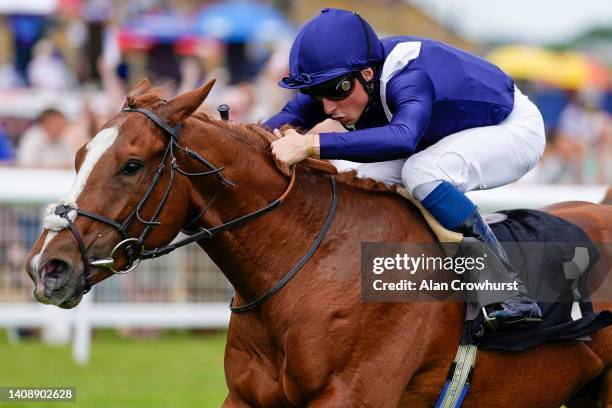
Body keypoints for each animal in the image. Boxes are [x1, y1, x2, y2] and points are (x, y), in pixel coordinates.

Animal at [27, 79, 612, 404]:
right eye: (78, 155)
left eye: (131, 165)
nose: (47, 267)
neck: (312, 262)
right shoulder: (248, 398)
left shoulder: (350, 396)